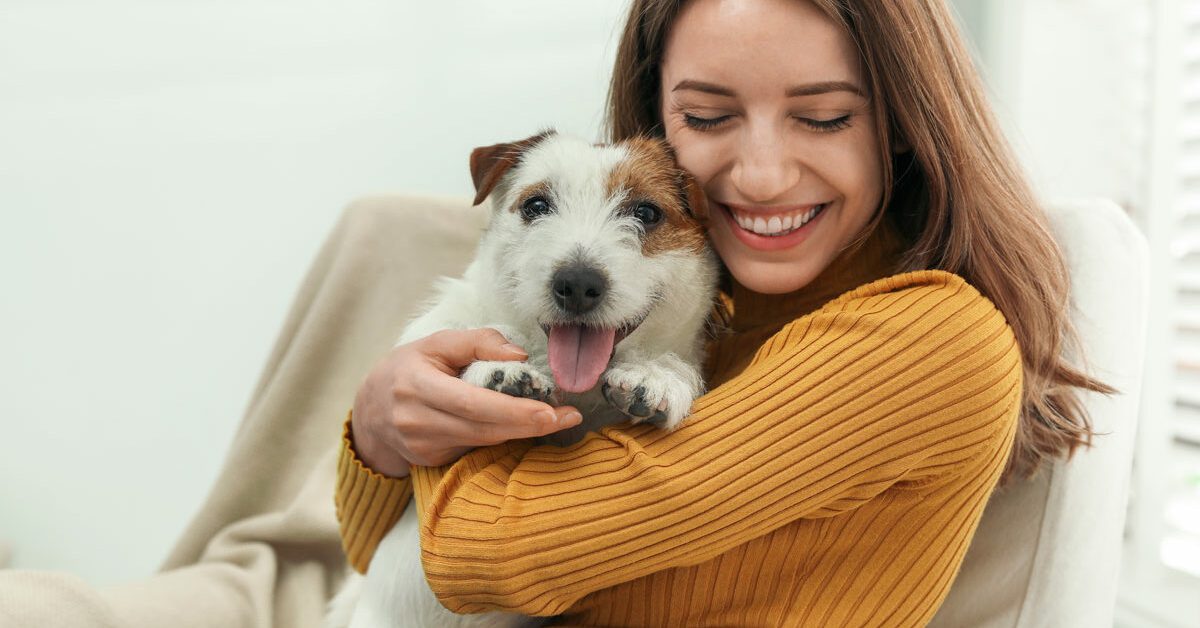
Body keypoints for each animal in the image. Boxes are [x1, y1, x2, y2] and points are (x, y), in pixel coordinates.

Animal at [324, 130, 720, 628]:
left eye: (647, 213)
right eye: (536, 205)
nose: (577, 283)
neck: (576, 392)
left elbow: (672, 365)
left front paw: (656, 375)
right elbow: (478, 333)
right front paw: (504, 368)